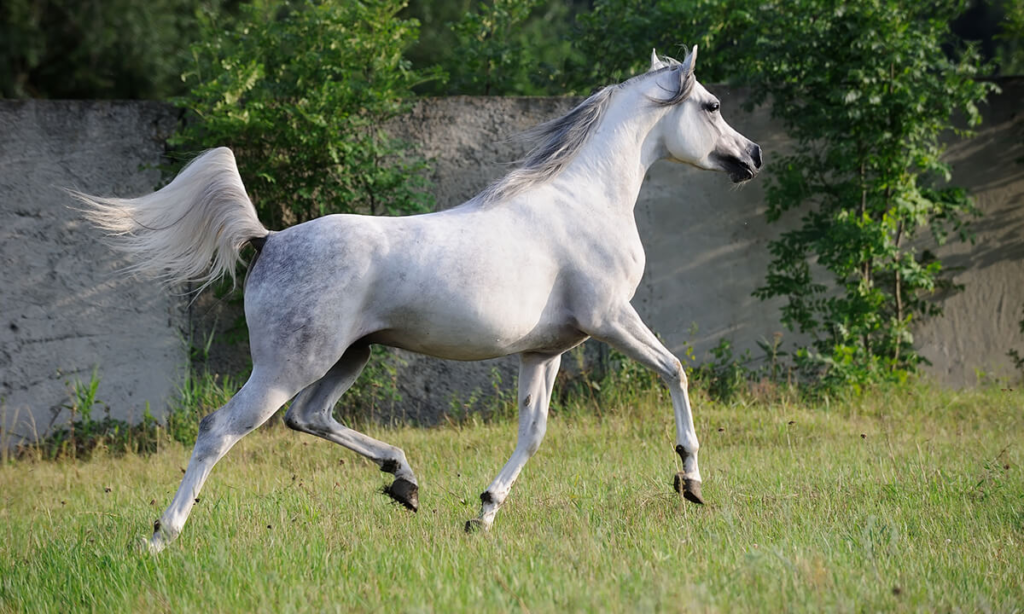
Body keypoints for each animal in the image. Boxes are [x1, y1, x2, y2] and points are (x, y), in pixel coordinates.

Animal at [75, 46, 761, 553]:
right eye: (711, 104)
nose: (751, 155)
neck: (584, 200)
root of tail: (269, 239)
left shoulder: (544, 351)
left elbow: (533, 431)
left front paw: (482, 514)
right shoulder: (612, 319)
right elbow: (675, 371)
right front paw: (691, 480)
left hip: (349, 357)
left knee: (309, 417)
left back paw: (403, 480)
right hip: (289, 364)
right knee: (220, 429)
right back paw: (160, 537)